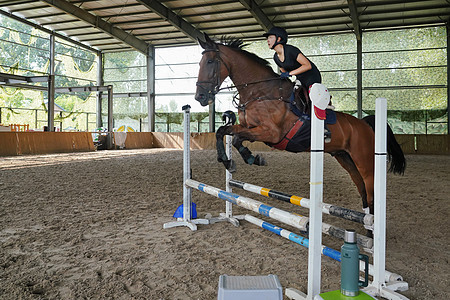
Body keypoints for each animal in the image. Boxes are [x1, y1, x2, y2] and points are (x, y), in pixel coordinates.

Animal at [193, 35, 404, 224]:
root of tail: (365, 124)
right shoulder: (249, 128)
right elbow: (224, 133)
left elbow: (235, 137)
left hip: (364, 160)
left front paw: (250, 159)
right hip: (345, 157)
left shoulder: (270, 133)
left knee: (371, 190)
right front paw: (233, 161)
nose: (200, 97)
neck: (260, 93)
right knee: (362, 190)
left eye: (210, 61)